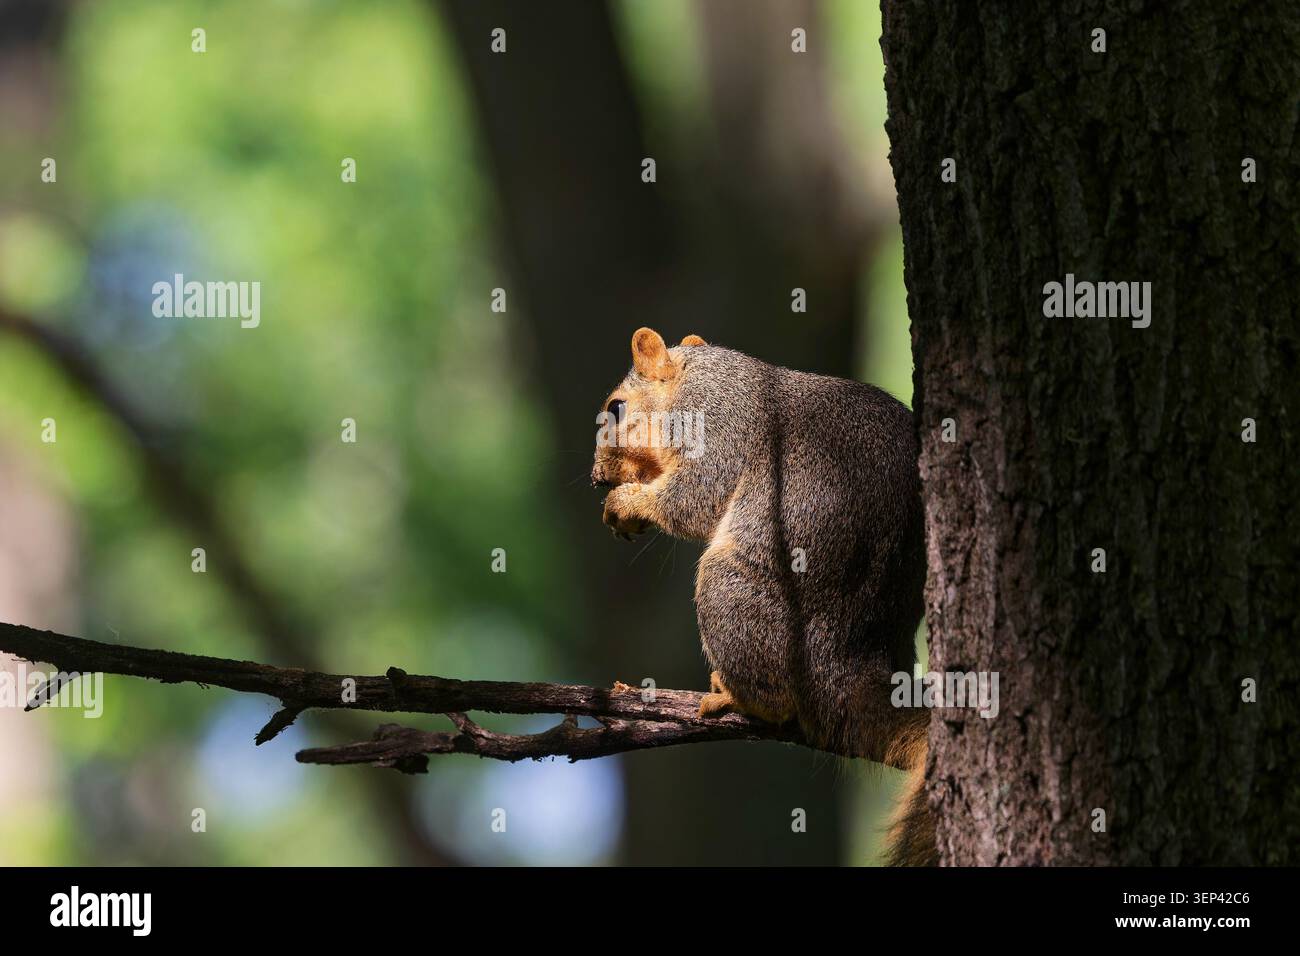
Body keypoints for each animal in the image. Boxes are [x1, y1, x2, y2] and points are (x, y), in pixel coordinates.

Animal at [591, 327, 935, 866]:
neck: (700, 379)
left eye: (617, 408)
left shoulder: (716, 430)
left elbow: (692, 500)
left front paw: (626, 503)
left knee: (778, 700)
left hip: (731, 591)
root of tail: (847, 660)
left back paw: (739, 697)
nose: (597, 478)